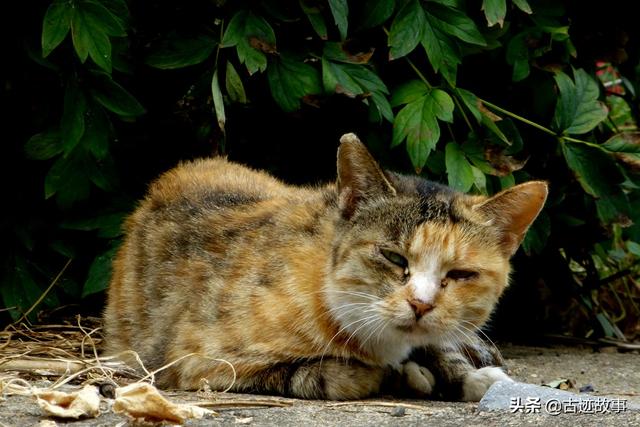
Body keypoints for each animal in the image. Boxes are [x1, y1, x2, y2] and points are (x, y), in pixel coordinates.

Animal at [102, 133, 548, 402]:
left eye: (460, 274)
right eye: (393, 257)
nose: (421, 304)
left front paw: (471, 377)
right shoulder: (197, 360)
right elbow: (326, 375)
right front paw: (397, 374)